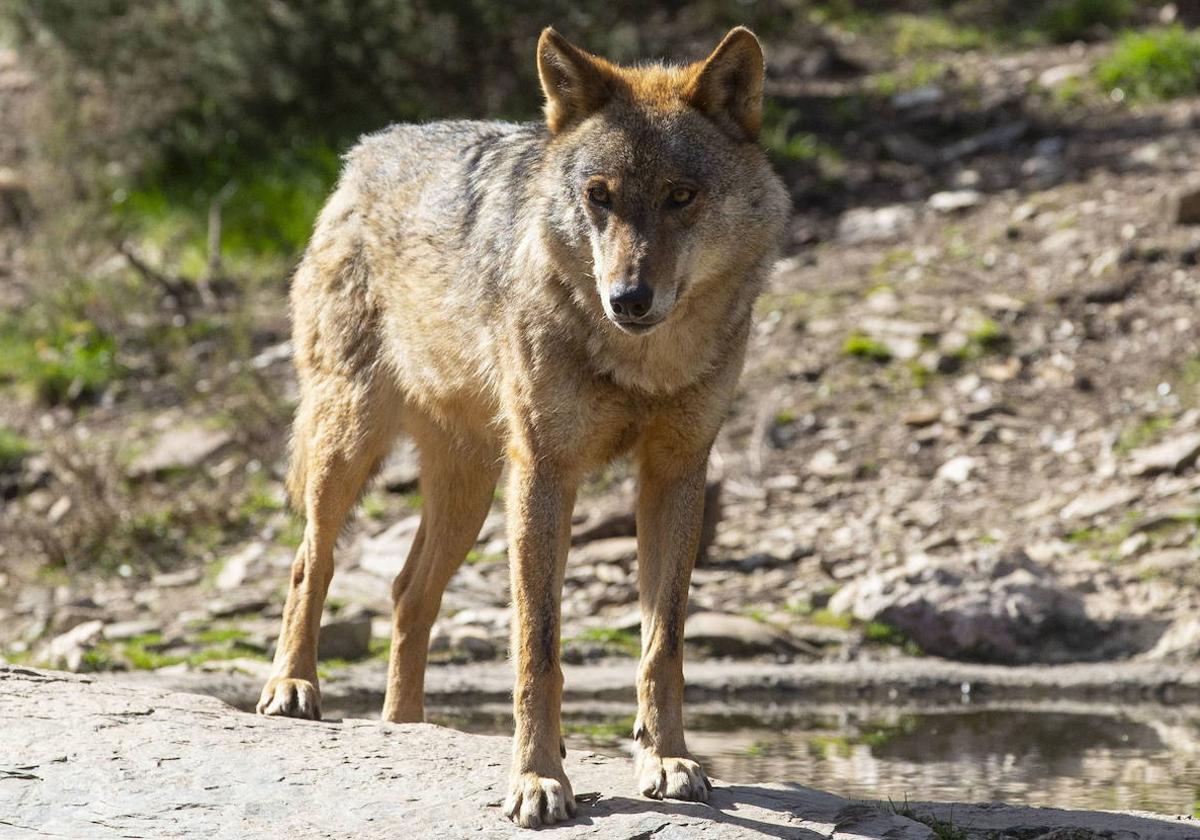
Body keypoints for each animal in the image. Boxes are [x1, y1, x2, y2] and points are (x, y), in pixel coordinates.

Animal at [255, 24, 787, 825]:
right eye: (598, 197)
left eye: (681, 197)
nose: (628, 298)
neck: (642, 362)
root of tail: (365, 151)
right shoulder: (545, 472)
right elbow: (537, 648)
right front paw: (538, 779)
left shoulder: (676, 472)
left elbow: (663, 645)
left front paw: (666, 759)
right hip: (349, 444)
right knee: (307, 563)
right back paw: (292, 687)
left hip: (471, 492)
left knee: (407, 592)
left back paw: (404, 726)